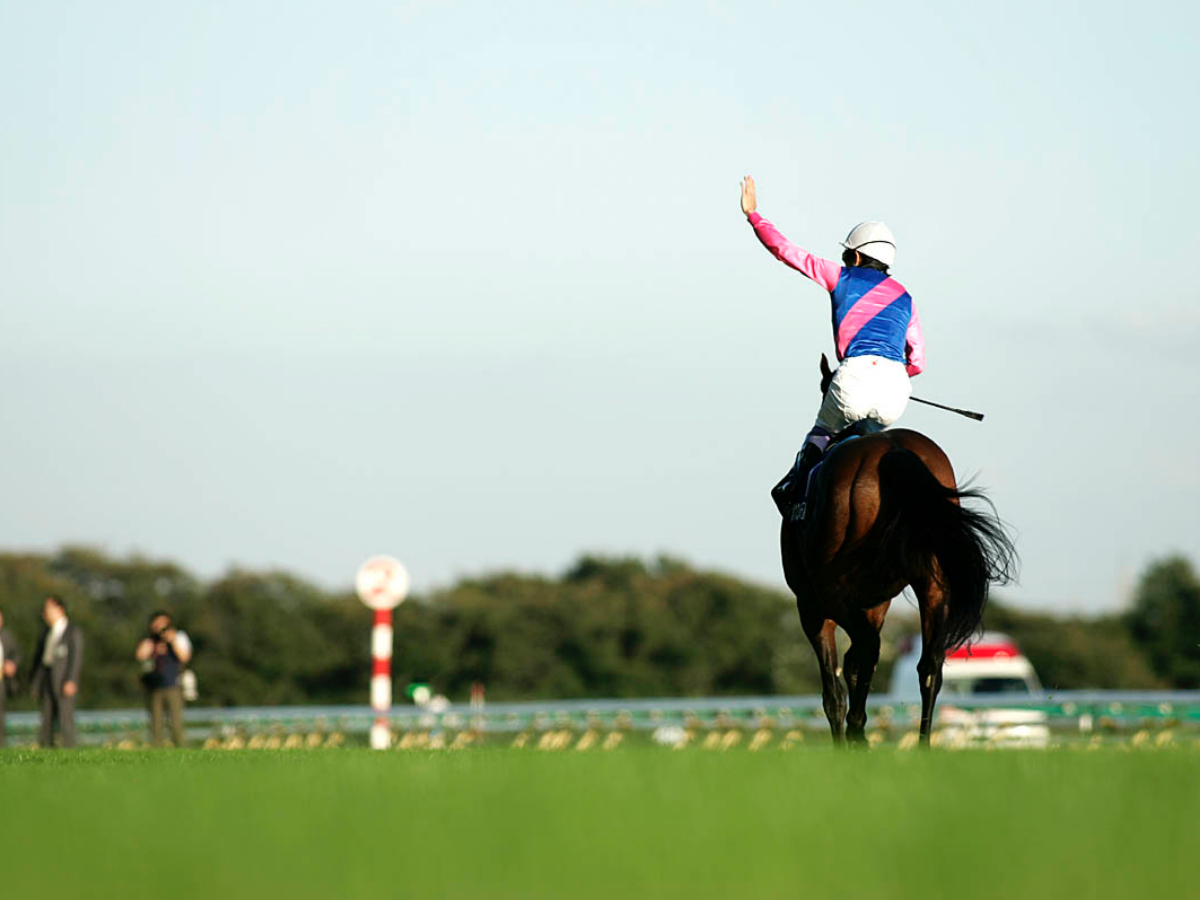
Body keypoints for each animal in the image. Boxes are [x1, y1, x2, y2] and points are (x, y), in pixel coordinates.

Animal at [782, 357, 1017, 748]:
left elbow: (835, 685)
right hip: (934, 584)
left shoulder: (812, 603)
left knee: (868, 651)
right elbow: (857, 664)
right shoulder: (875, 602)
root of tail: (894, 452)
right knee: (930, 665)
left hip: (831, 592)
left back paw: (860, 733)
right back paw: (920, 744)